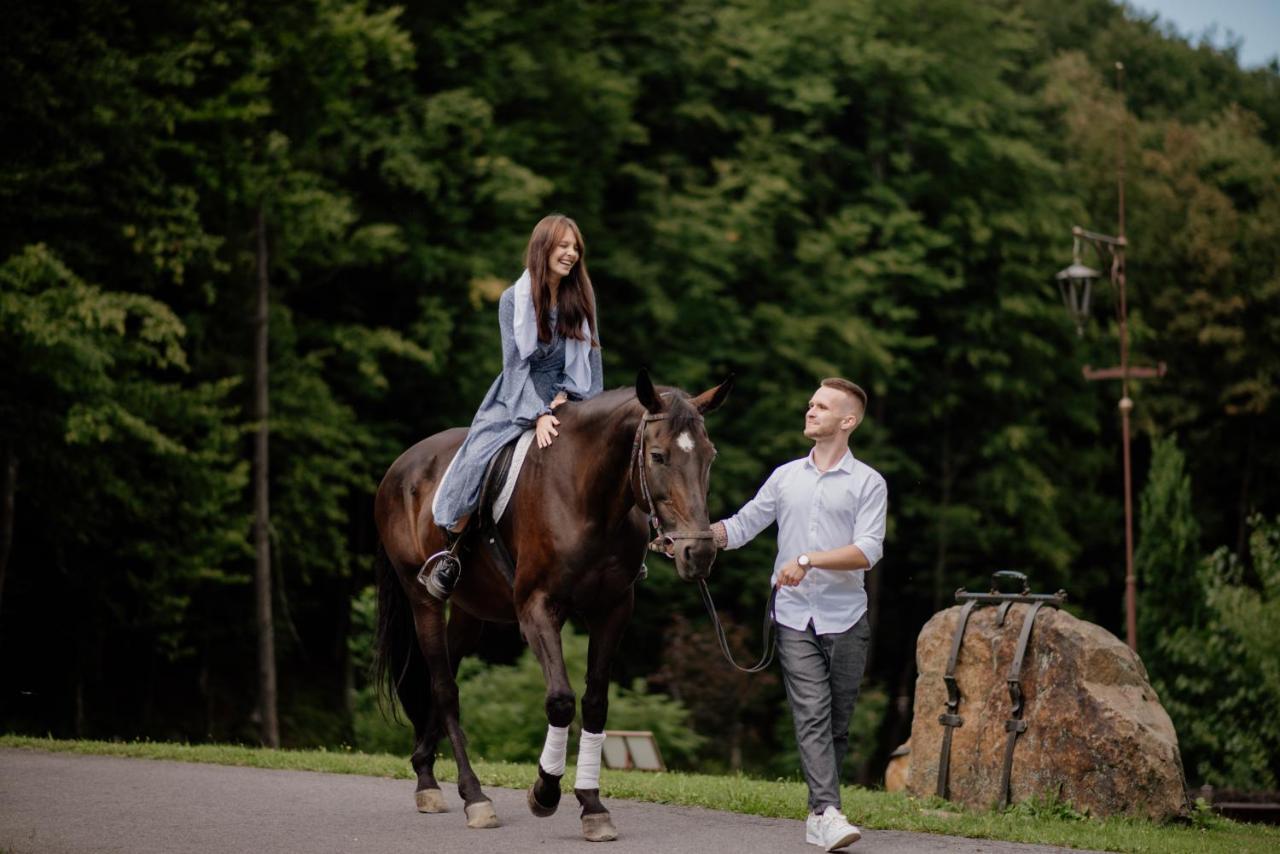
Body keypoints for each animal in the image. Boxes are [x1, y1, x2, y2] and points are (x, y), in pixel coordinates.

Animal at [373, 371, 732, 839]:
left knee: (444, 675)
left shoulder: (612, 611)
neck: (587, 498)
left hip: (470, 613)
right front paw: (545, 790)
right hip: (424, 601)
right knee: (444, 687)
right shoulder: (536, 608)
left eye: (709, 455)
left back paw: (425, 775)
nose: (699, 552)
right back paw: (473, 796)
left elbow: (595, 702)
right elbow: (560, 699)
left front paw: (592, 804)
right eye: (658, 455)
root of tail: (400, 467)